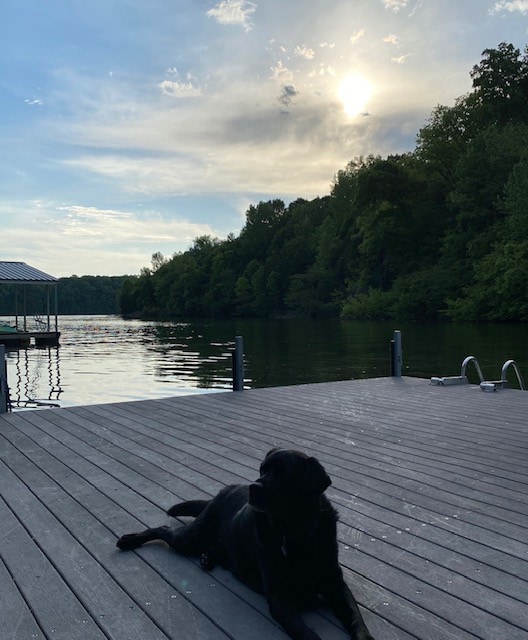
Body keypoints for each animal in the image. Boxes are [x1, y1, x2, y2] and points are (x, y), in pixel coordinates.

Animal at [117, 450, 376, 640]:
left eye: (284, 474)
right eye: (262, 469)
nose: (254, 486)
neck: (295, 532)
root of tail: (225, 489)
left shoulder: (336, 584)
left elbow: (357, 619)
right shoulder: (280, 598)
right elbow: (308, 635)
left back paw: (207, 558)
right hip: (189, 537)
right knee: (162, 529)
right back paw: (129, 540)